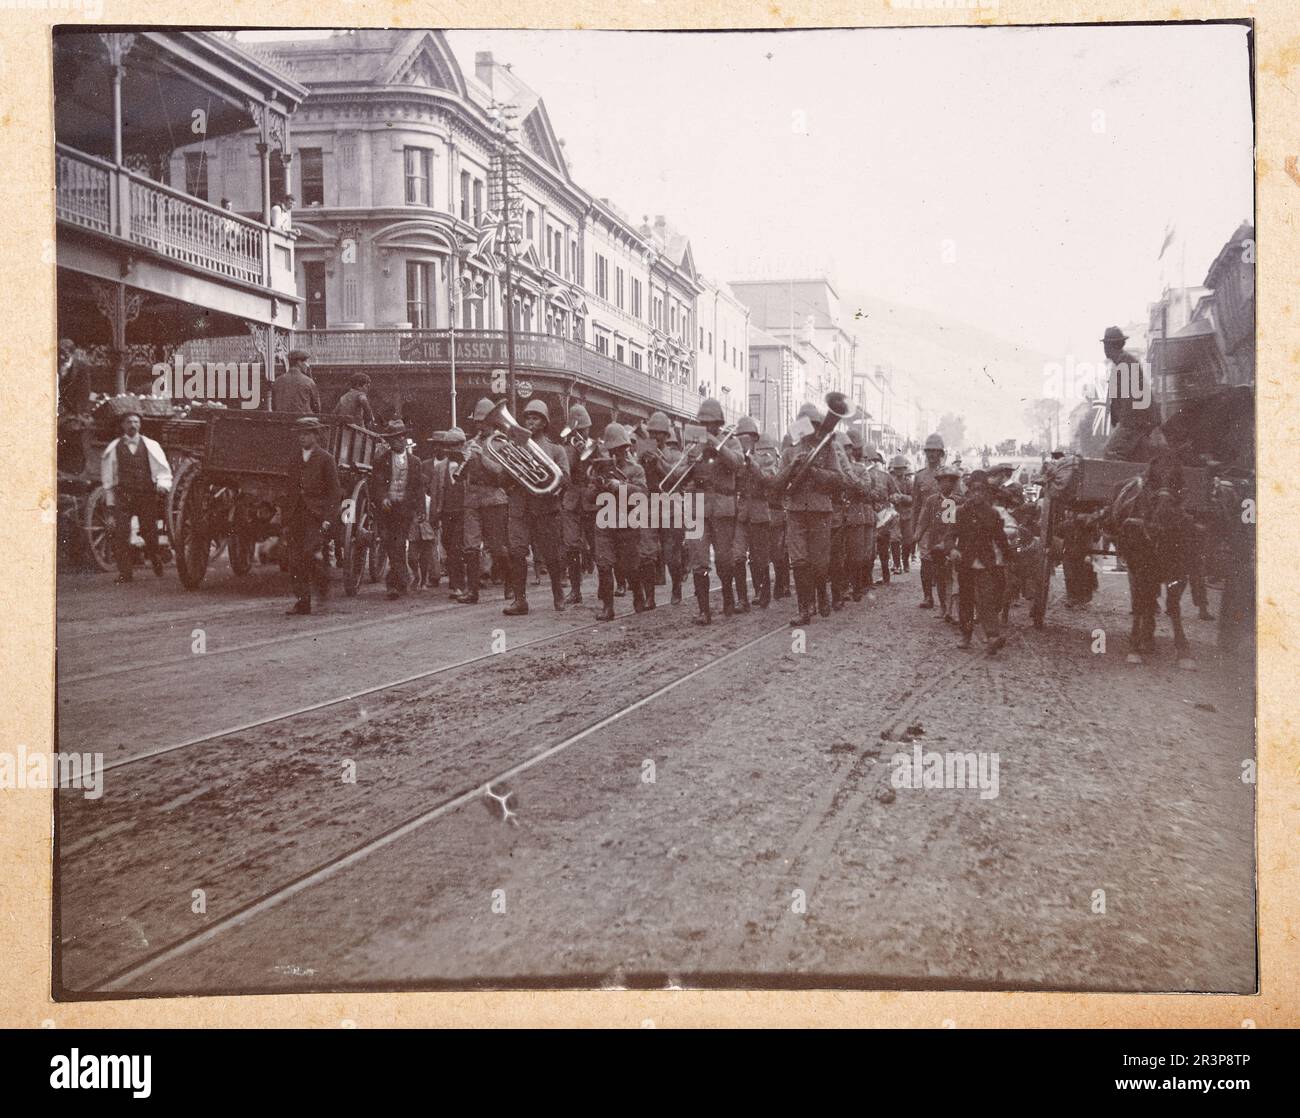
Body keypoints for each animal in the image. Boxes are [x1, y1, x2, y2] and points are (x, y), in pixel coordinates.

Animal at [1102, 449, 1201, 665]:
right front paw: (1134, 646)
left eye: (1178, 479)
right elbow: (1140, 602)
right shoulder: (1138, 566)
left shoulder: (1180, 568)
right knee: (1142, 597)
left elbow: (1173, 605)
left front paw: (1183, 650)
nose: (1164, 517)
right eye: (1151, 480)